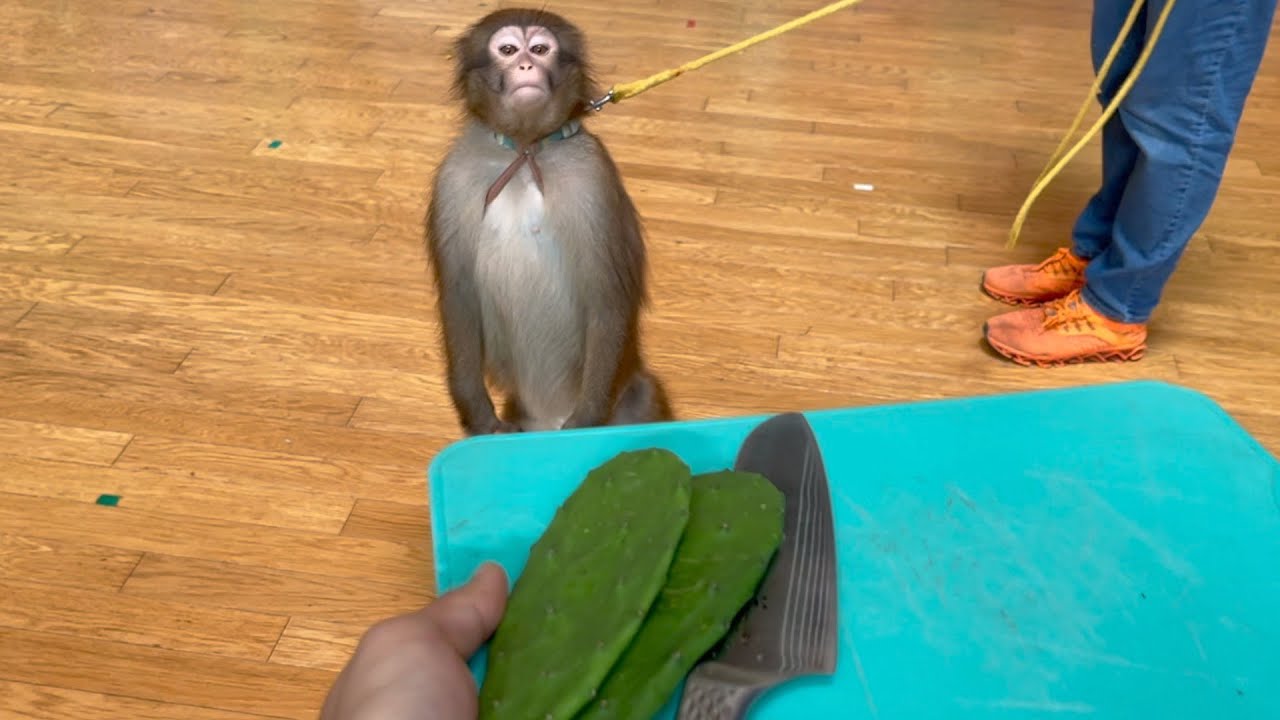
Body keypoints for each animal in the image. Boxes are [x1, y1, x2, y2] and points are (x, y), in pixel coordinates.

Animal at [424, 7, 674, 436]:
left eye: (540, 50)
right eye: (508, 50)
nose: (526, 66)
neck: (525, 152)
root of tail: (547, 418)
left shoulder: (591, 176)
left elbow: (606, 297)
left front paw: (586, 420)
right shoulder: (455, 178)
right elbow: (459, 295)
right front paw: (479, 416)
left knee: (643, 398)